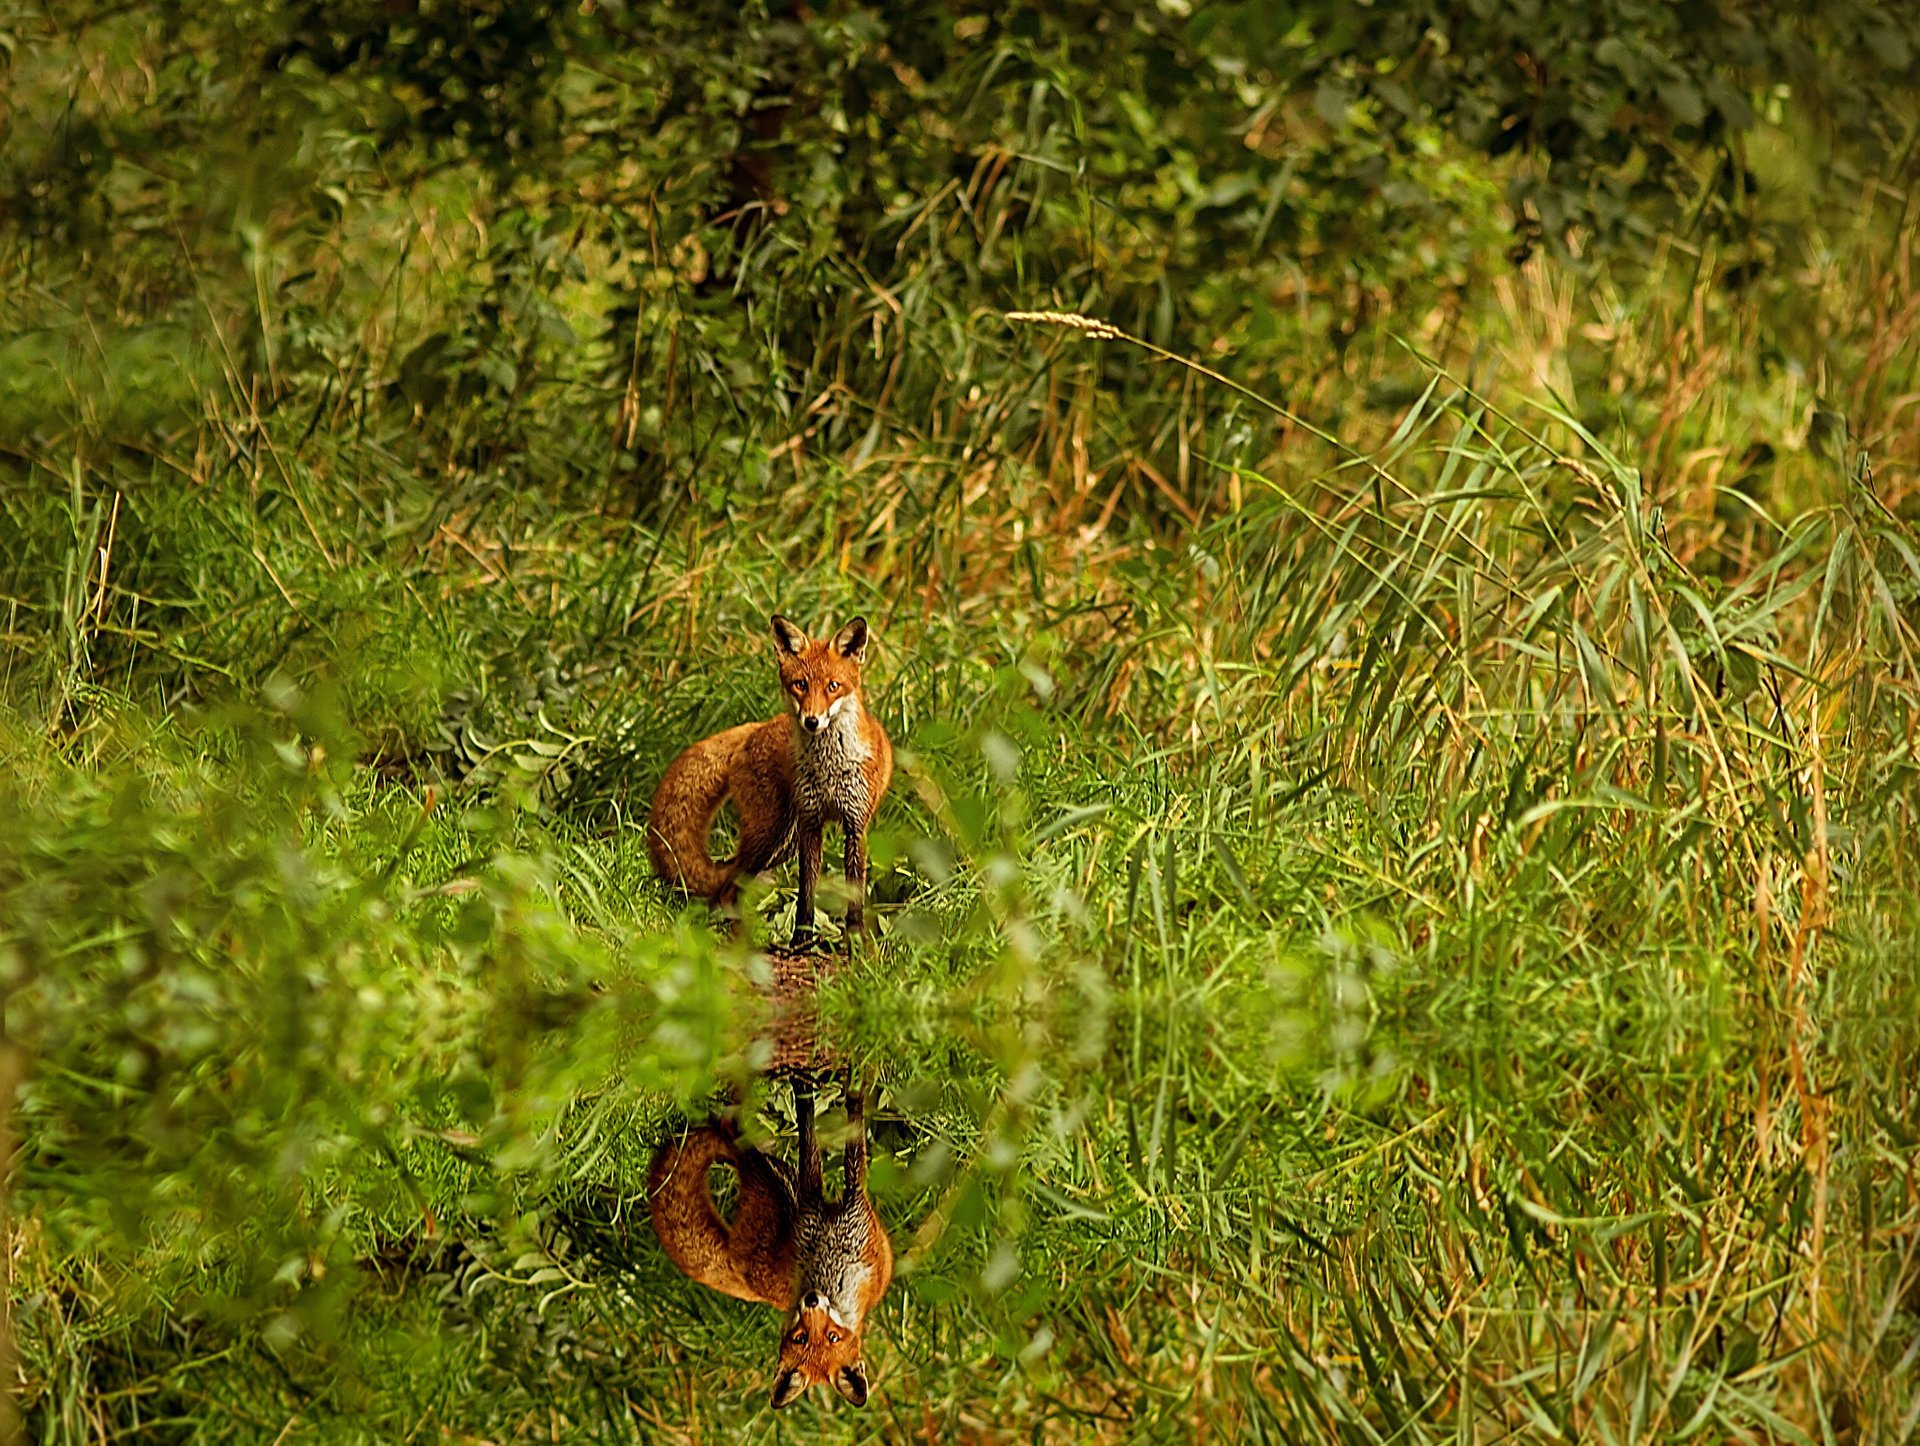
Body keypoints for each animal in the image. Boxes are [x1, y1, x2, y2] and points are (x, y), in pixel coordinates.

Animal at [641, 614, 887, 940]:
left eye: (833, 686)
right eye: (800, 685)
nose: (812, 721)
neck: (829, 767)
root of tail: (756, 727)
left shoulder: (854, 825)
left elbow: (852, 896)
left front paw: (855, 940)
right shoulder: (812, 822)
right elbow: (806, 895)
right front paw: (801, 941)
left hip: (782, 841)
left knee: (727, 886)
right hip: (771, 834)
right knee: (728, 888)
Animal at [641, 1075, 887, 1405]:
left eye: (832, 1337)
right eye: (801, 1337)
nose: (811, 1301)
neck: (828, 1264)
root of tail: (749, 1283)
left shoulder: (847, 1212)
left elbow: (839, 1138)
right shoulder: (819, 1205)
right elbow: (818, 1136)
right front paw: (825, 1085)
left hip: (778, 1187)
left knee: (738, 1137)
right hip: (777, 1191)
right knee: (738, 1136)